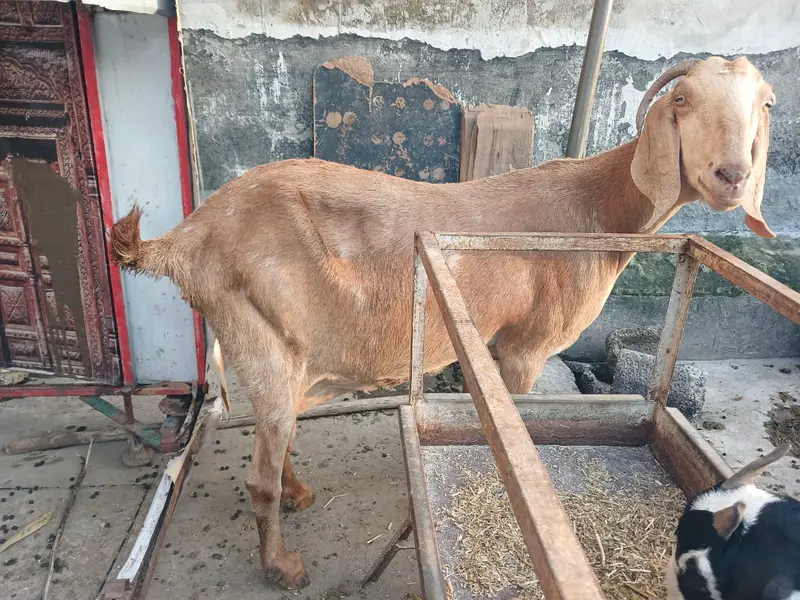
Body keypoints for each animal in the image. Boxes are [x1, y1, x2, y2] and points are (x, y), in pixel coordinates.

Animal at [109, 56, 777, 589]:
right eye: (683, 100)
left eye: (765, 104)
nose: (731, 176)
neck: (595, 208)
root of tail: (187, 239)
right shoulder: (525, 346)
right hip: (259, 337)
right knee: (260, 472)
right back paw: (283, 566)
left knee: (280, 431)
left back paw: (299, 494)